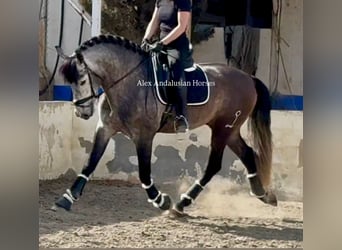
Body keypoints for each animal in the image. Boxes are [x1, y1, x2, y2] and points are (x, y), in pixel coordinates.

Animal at [54, 34, 278, 216]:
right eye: (70, 83)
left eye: (82, 81)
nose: (81, 113)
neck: (127, 82)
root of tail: (248, 77)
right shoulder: (105, 129)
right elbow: (89, 163)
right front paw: (66, 198)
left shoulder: (144, 135)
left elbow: (144, 173)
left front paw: (161, 200)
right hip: (228, 130)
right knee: (247, 153)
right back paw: (263, 194)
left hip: (223, 129)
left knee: (214, 165)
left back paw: (182, 203)